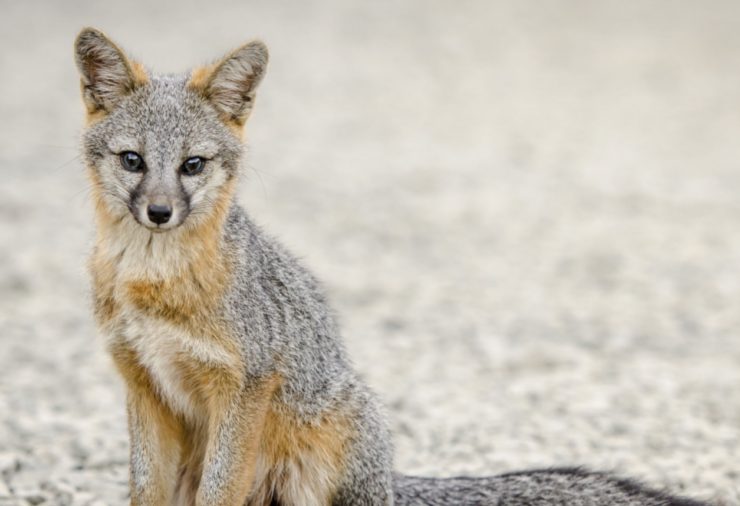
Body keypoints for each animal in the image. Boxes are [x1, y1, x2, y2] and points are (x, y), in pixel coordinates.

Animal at [74, 27, 710, 506]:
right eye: (133, 160)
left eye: (192, 165)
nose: (159, 212)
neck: (154, 285)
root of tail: (388, 479)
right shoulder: (143, 382)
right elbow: (144, 489)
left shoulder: (243, 385)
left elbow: (220, 490)